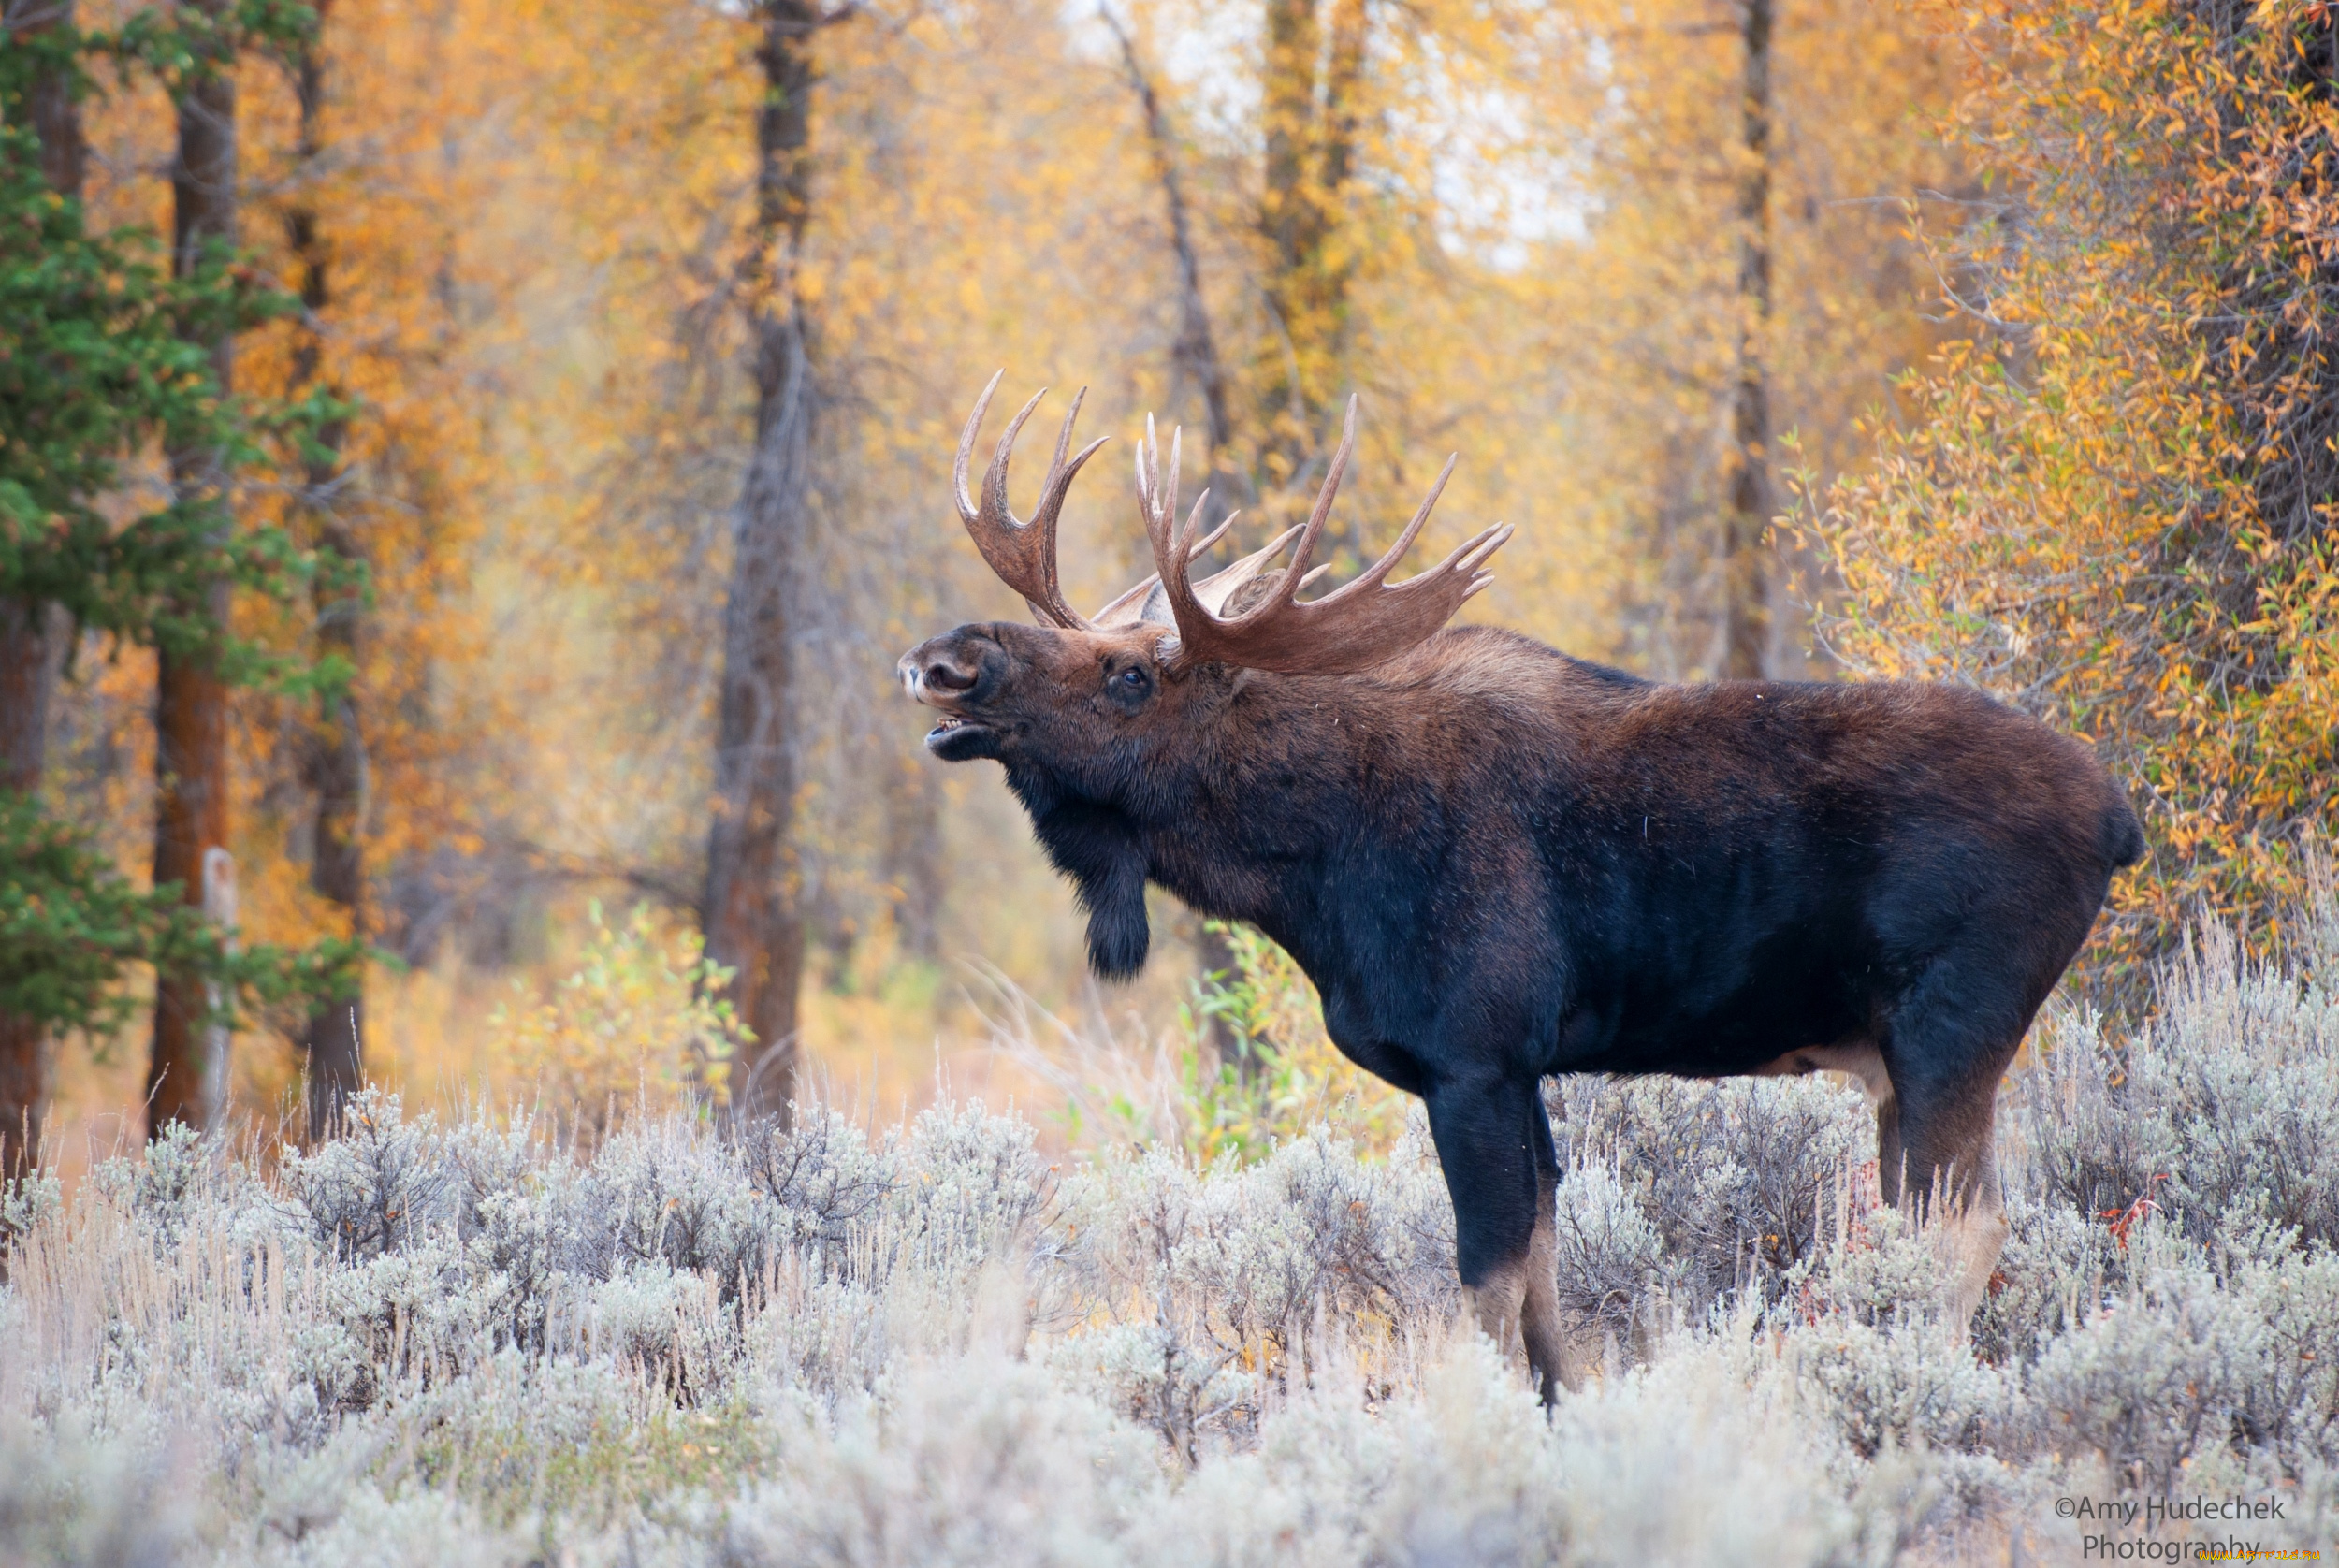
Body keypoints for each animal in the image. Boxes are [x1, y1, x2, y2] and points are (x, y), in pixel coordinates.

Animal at [893, 376, 2143, 1403]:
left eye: (1128, 676)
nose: (945, 657)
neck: (1313, 874)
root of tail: (2120, 820)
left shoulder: (1475, 1055)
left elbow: (1485, 1290)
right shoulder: (1520, 1069)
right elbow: (1543, 1293)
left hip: (1950, 1026)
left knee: (1964, 1228)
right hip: (1896, 1057)